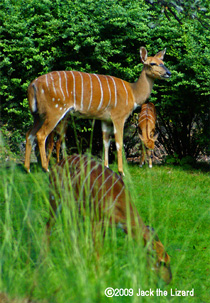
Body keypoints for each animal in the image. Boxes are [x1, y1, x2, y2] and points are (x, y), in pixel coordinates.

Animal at [24, 47, 171, 176]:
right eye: (152, 63)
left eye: (163, 63)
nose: (168, 73)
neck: (133, 93)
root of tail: (33, 85)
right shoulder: (119, 117)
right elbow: (119, 143)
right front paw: (121, 172)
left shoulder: (105, 120)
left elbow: (106, 143)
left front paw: (106, 168)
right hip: (54, 111)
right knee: (41, 135)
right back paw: (46, 169)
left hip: (38, 115)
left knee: (29, 134)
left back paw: (28, 169)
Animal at [47, 154, 172, 284]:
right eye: (162, 262)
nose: (168, 281)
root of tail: (56, 165)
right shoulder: (95, 219)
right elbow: (96, 249)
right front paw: (98, 276)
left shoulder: (104, 224)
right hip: (55, 198)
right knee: (48, 226)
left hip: (74, 209)